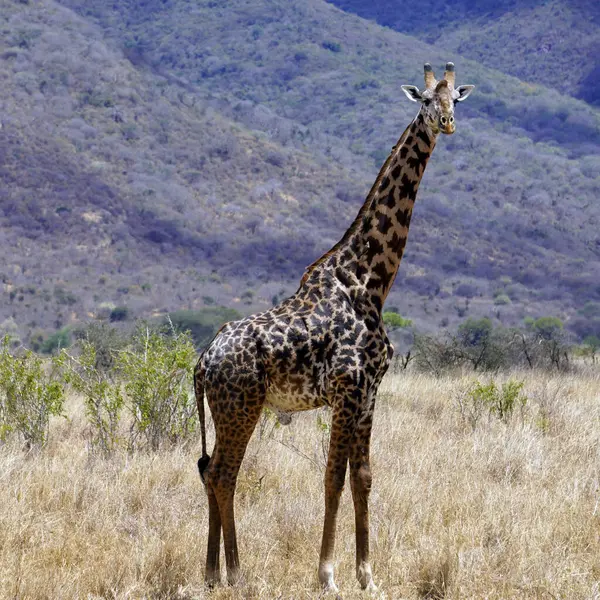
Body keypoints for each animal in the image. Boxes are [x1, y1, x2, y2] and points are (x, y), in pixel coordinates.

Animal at [195, 63, 476, 592]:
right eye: (426, 101)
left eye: (456, 99)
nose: (447, 123)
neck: (370, 280)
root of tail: (202, 361)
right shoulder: (347, 389)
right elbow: (333, 478)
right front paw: (327, 574)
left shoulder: (369, 393)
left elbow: (363, 476)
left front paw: (368, 575)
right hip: (241, 406)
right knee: (223, 473)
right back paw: (235, 572)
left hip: (228, 410)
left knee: (208, 469)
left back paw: (212, 574)